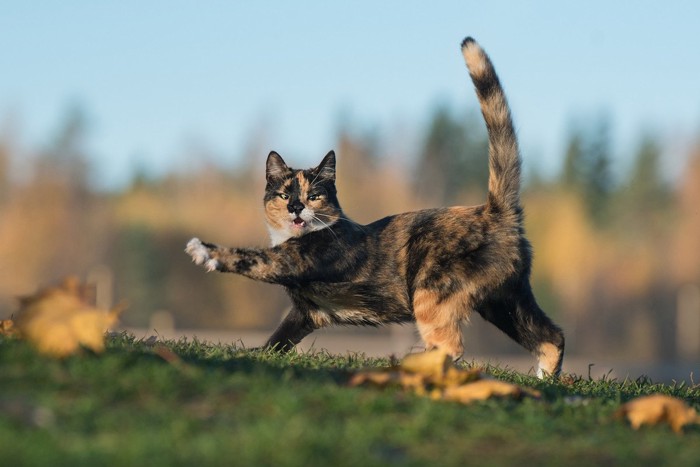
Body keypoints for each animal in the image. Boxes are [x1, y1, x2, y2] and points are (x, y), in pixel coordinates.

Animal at [185, 38, 564, 378]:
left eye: (314, 195)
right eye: (283, 193)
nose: (295, 207)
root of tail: (496, 211)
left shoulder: (292, 262)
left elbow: (249, 258)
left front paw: (204, 250)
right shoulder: (304, 313)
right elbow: (278, 340)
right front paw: (259, 354)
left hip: (433, 291)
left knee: (451, 346)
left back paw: (408, 366)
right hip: (505, 300)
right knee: (552, 336)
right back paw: (545, 380)